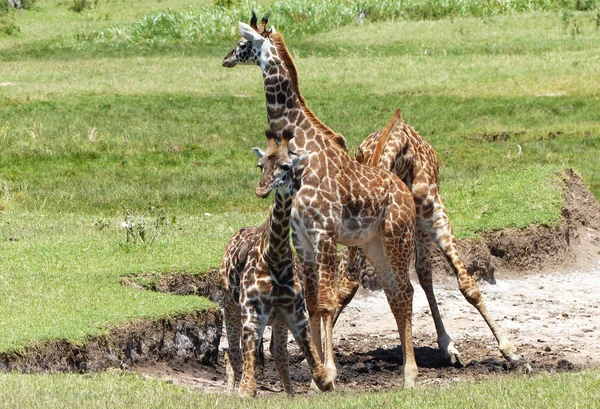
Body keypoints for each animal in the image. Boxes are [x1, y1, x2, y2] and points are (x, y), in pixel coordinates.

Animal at [219, 129, 336, 396]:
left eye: (285, 166)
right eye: (260, 165)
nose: (262, 189)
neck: (275, 257)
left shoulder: (296, 314)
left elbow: (321, 377)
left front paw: (297, 393)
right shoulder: (252, 315)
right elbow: (248, 387)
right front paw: (240, 392)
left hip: (277, 321)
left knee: (277, 353)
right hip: (231, 307)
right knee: (233, 354)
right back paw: (229, 392)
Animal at [342, 108, 528, 370]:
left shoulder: (437, 220)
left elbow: (468, 285)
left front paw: (512, 354)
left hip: (419, 228)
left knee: (423, 272)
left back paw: (448, 346)